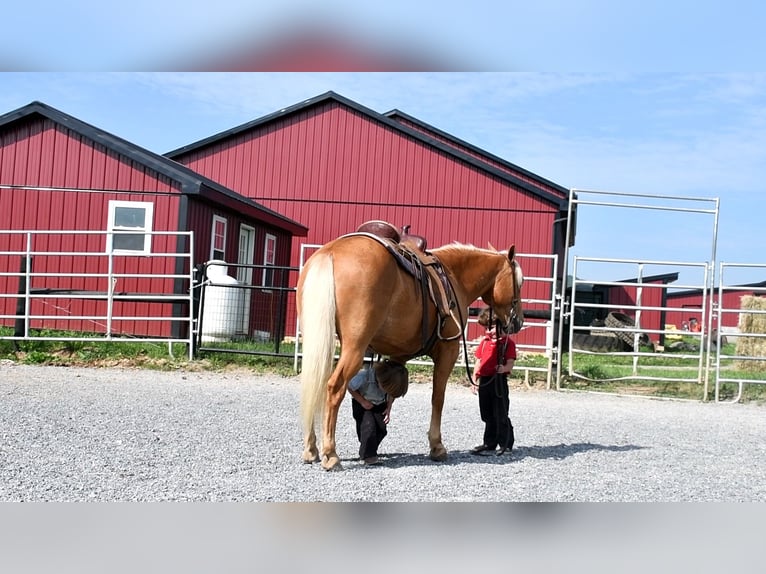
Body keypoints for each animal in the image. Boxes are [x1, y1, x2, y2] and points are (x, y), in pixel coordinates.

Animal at [296, 235, 524, 472]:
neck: (453, 276)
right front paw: (437, 446)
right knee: (334, 387)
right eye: (519, 283)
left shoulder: (398, 355)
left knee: (314, 383)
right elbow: (438, 398)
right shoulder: (448, 351)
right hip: (354, 347)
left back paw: (311, 449)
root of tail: (330, 252)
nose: (518, 321)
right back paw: (330, 454)